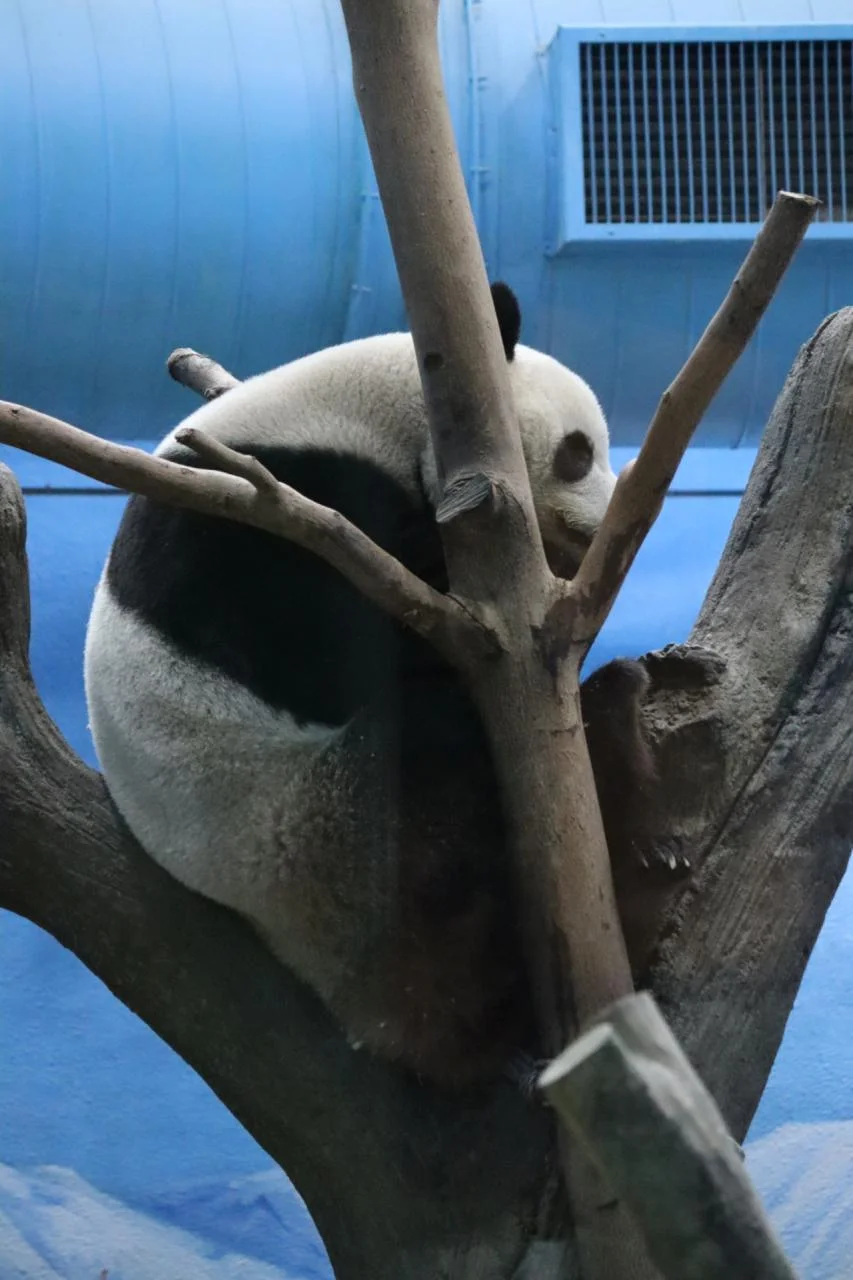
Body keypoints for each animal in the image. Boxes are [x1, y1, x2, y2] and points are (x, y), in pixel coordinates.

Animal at [84, 283, 656, 1091]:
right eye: (578, 452)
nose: (608, 523)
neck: (370, 409)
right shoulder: (254, 502)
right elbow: (321, 650)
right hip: (316, 831)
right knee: (435, 786)